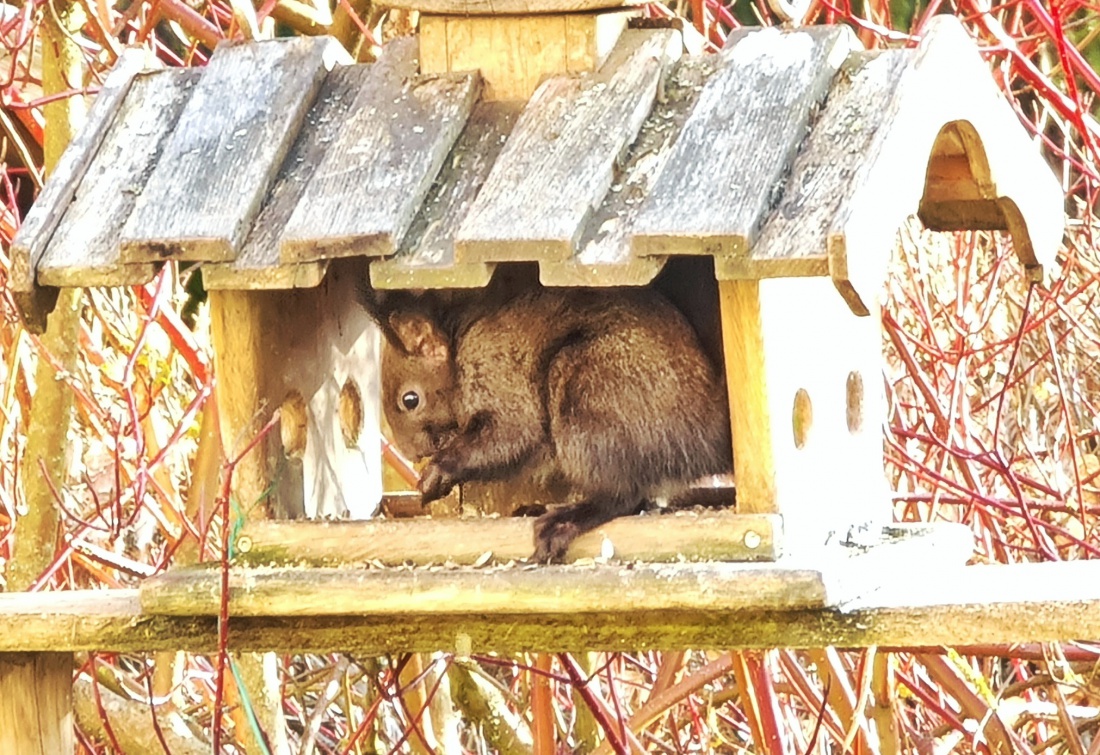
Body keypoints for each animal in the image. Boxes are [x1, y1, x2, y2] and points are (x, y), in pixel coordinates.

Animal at [365, 279, 734, 561]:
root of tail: (708, 431)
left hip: (590, 394)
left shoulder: (497, 373)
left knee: (622, 494)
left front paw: (437, 472)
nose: (411, 453)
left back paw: (563, 522)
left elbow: (513, 433)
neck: (459, 346)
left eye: (410, 400)